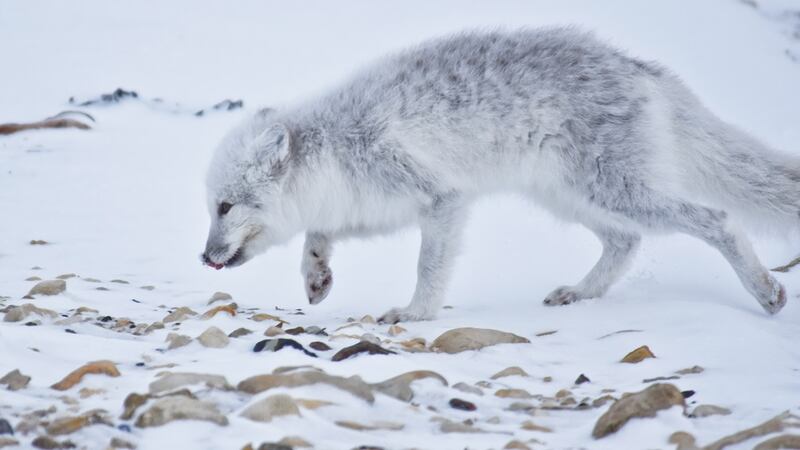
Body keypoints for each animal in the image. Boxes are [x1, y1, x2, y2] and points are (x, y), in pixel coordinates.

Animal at [201, 27, 793, 323]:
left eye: (225, 207)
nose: (204, 258)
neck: (335, 146)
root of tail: (639, 67)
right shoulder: (366, 207)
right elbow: (317, 234)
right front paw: (316, 275)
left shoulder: (439, 198)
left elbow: (428, 267)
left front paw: (415, 314)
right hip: (572, 196)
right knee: (625, 241)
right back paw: (579, 294)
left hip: (615, 189)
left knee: (716, 220)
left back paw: (766, 292)